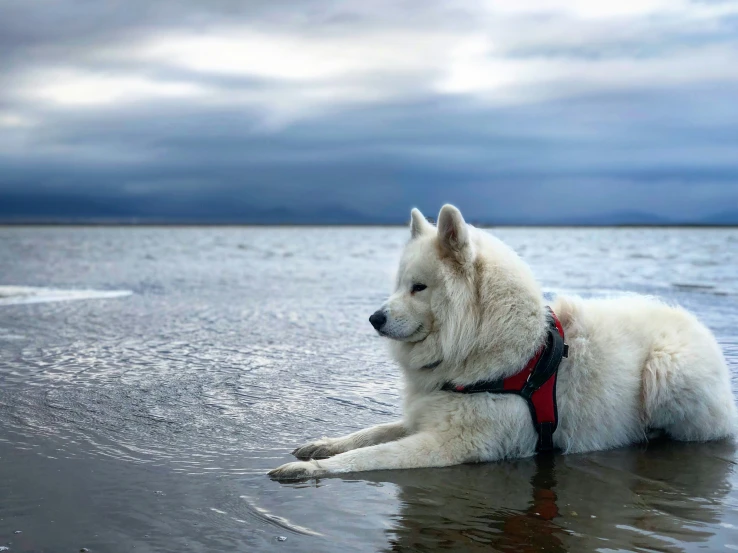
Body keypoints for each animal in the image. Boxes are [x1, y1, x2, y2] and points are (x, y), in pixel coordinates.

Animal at [268, 204, 736, 478]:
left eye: (419, 287)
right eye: (399, 285)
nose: (374, 319)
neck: (485, 346)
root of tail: (699, 327)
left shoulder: (457, 442)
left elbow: (374, 456)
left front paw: (312, 470)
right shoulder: (427, 413)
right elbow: (370, 432)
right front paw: (322, 446)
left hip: (666, 370)